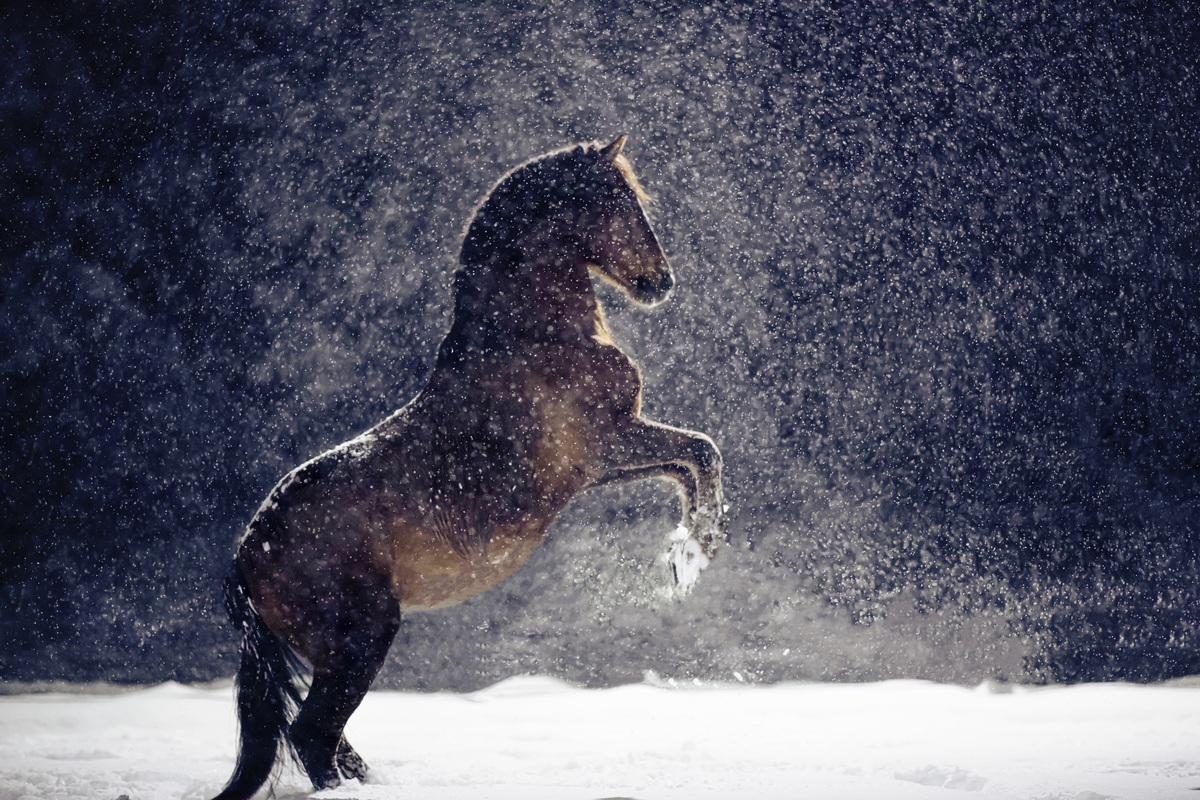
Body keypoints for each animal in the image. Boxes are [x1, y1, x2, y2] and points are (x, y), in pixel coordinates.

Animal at [211, 136, 724, 800]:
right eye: (618, 201)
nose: (659, 282)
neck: (530, 338)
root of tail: (248, 555)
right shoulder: (609, 444)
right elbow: (702, 450)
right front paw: (695, 552)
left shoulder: (603, 465)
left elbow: (685, 467)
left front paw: (685, 554)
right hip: (360, 640)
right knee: (314, 737)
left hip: (331, 651)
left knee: (327, 740)